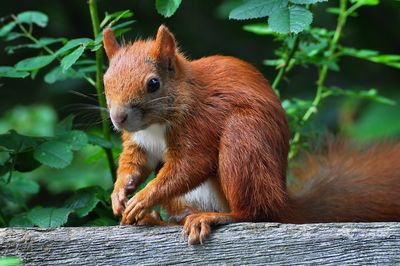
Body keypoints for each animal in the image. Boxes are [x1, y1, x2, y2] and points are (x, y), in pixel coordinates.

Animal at [102, 25, 400, 245]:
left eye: (153, 84)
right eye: (105, 81)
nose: (118, 118)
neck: (155, 125)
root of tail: (280, 199)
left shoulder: (200, 123)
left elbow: (191, 165)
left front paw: (143, 198)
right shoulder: (139, 143)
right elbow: (135, 163)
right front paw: (120, 193)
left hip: (243, 140)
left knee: (254, 213)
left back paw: (213, 217)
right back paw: (161, 219)